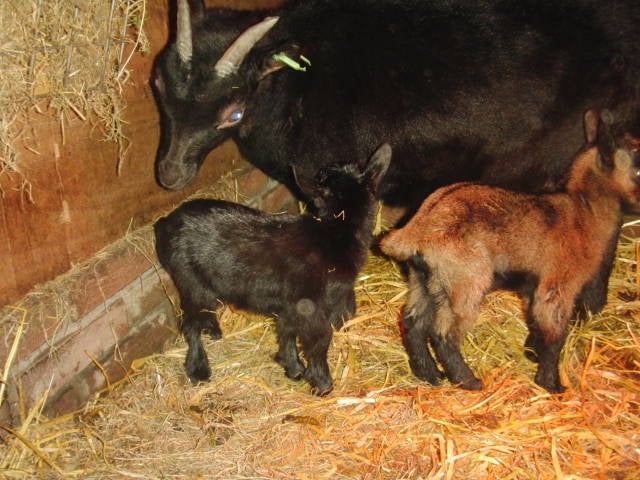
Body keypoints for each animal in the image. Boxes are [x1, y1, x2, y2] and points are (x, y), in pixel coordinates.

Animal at [154, 143, 391, 395]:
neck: (334, 232)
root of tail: (164, 224)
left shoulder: (290, 305)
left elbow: (287, 331)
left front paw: (292, 367)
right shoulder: (310, 306)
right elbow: (318, 341)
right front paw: (322, 383)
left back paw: (214, 332)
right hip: (191, 281)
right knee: (190, 324)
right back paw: (198, 369)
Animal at [379, 112, 640, 393]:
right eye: (638, 167)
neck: (584, 212)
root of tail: (417, 228)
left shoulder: (535, 288)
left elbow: (536, 323)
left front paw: (532, 353)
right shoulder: (558, 286)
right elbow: (554, 335)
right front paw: (552, 384)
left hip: (428, 282)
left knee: (414, 324)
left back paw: (430, 375)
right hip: (466, 282)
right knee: (444, 334)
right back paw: (469, 381)